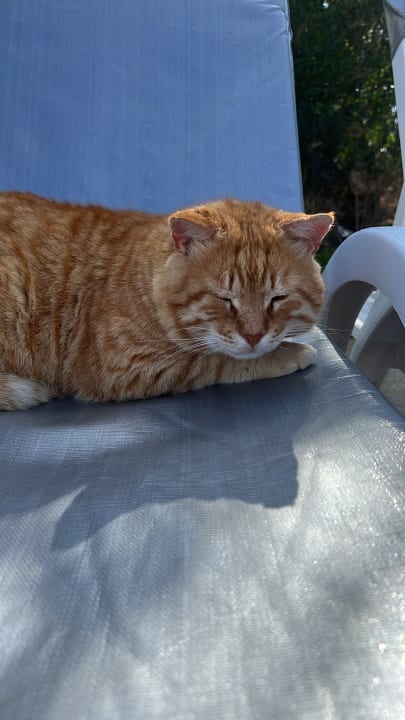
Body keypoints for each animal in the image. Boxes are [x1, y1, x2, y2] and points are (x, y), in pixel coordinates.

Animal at [0, 192, 333, 410]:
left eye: (277, 298)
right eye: (223, 298)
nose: (254, 335)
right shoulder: (122, 367)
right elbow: (211, 360)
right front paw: (288, 353)